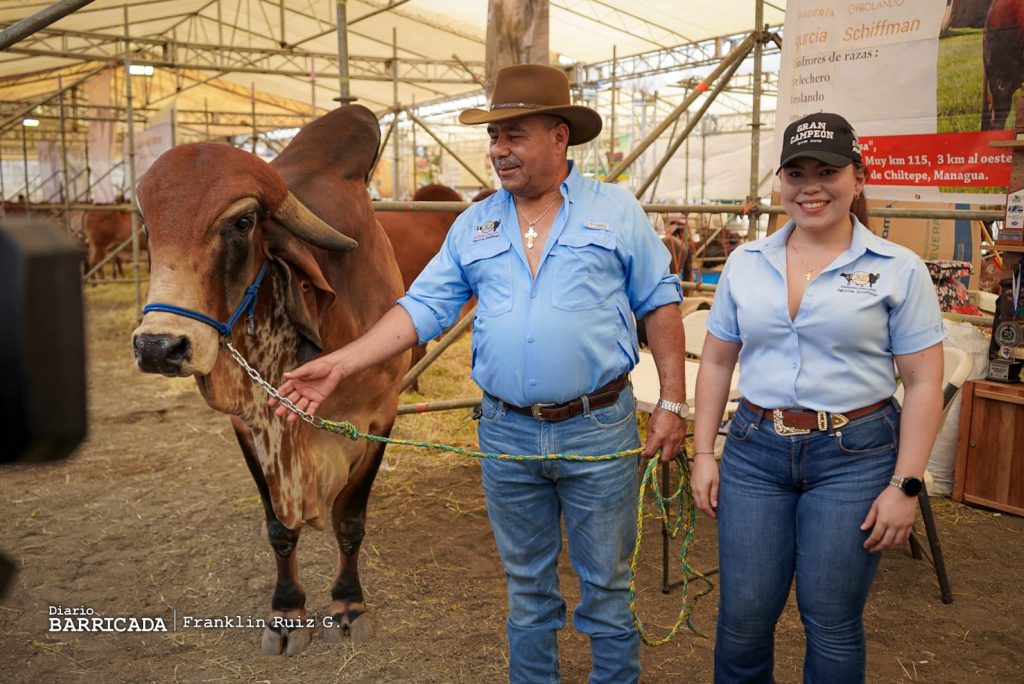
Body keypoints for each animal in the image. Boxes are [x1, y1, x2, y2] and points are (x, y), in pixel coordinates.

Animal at [131, 105, 407, 651]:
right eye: (148, 226)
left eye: (243, 221)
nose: (158, 347)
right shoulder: (248, 424)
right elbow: (280, 527)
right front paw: (287, 612)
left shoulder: (379, 418)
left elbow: (350, 520)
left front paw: (348, 603)